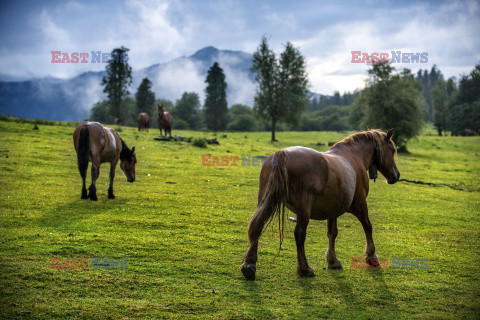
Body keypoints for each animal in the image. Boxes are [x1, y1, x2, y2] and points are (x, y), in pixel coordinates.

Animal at [242, 127, 400, 280]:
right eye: (392, 150)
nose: (396, 175)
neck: (354, 156)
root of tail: (282, 154)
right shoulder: (360, 204)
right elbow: (368, 226)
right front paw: (371, 256)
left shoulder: (334, 210)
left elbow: (332, 233)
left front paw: (333, 261)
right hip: (303, 208)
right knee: (299, 233)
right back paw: (304, 269)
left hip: (265, 201)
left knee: (257, 226)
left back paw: (249, 264)